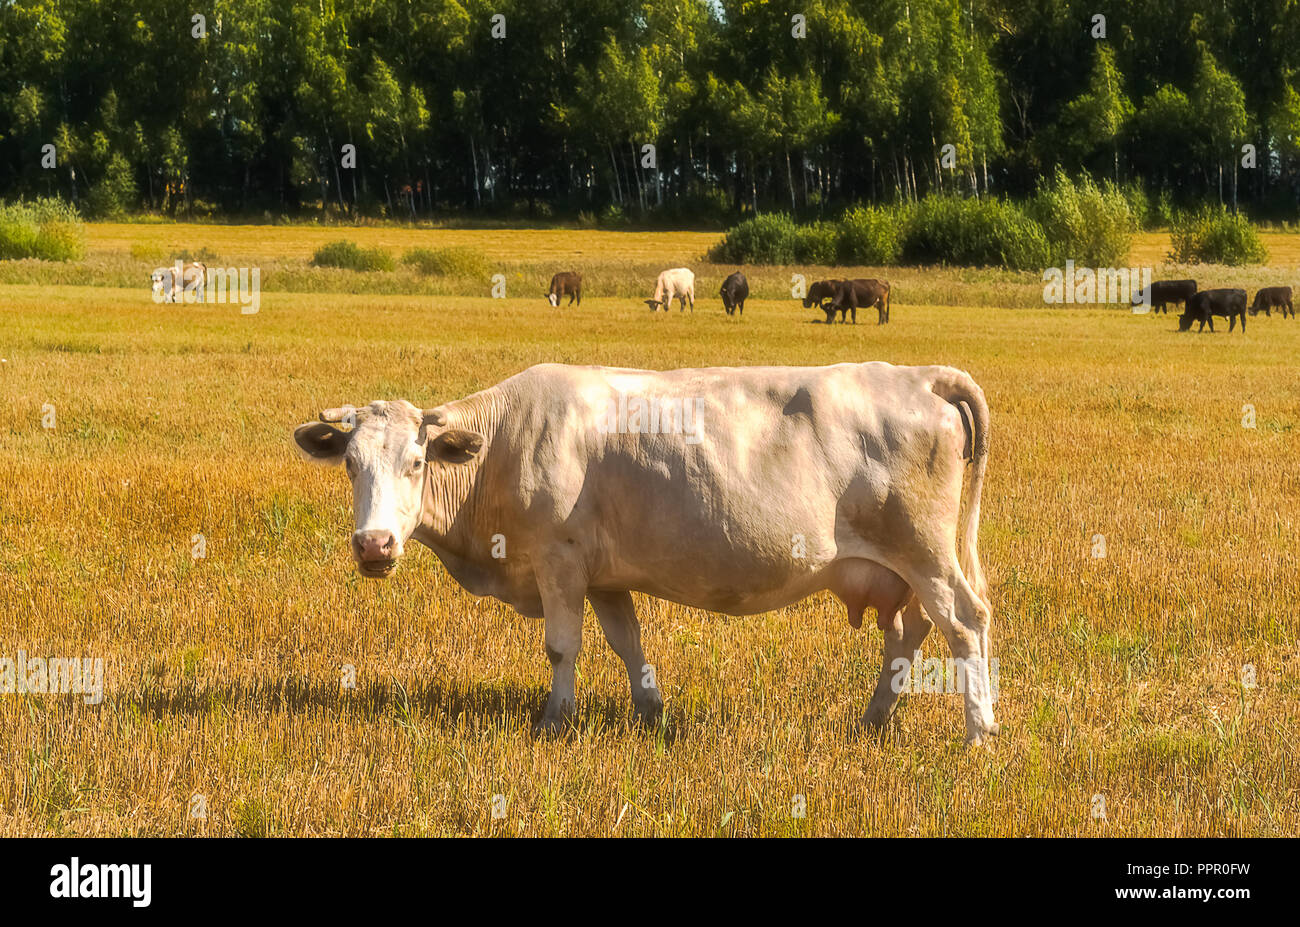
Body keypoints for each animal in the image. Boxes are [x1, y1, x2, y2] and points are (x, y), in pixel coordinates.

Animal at [292, 361, 997, 745]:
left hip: (926, 551)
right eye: (351, 466)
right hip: (900, 568)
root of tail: (915, 376)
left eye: (415, 463)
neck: (503, 445)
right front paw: (651, 712)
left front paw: (554, 720)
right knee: (909, 635)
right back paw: (874, 719)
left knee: (965, 623)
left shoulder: (559, 560)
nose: (374, 544)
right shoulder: (604, 575)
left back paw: (979, 731)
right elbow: (626, 641)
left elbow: (563, 647)